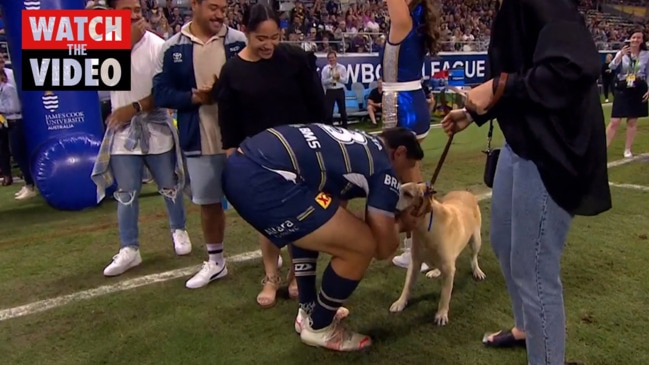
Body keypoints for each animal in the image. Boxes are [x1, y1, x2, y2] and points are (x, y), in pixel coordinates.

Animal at [388, 182, 484, 324]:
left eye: (408, 194)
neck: (425, 227)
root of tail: (465, 192)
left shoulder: (449, 270)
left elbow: (445, 295)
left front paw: (441, 314)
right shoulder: (415, 263)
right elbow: (407, 286)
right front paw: (400, 302)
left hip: (476, 240)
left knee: (473, 257)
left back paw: (477, 270)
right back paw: (436, 271)